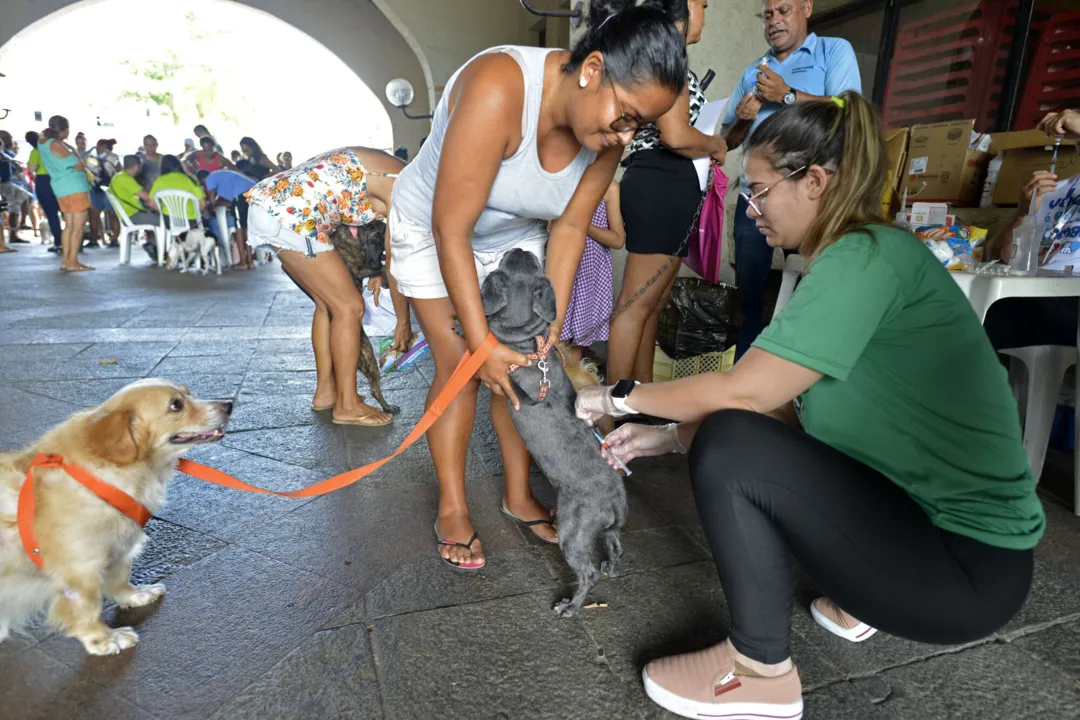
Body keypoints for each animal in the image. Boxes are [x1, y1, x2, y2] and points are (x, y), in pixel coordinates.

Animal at [481, 249, 626, 621]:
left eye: (505, 259)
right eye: (530, 262)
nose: (519, 248)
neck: (529, 346)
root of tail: (616, 500)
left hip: (572, 532)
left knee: (587, 572)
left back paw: (570, 606)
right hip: (606, 529)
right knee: (615, 543)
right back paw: (611, 567)